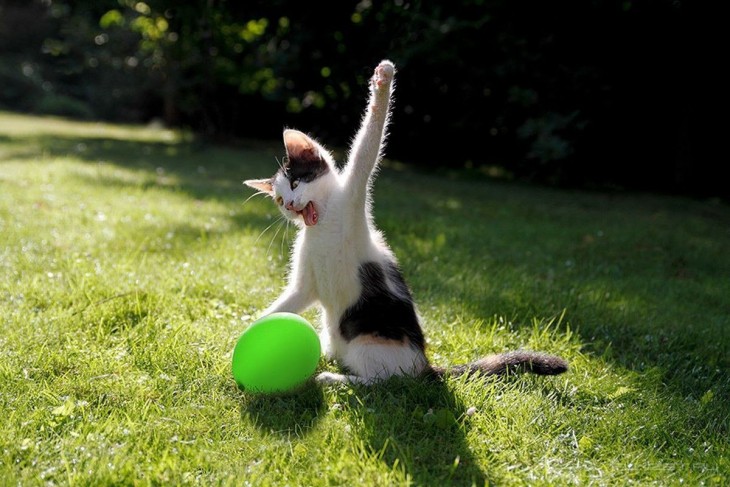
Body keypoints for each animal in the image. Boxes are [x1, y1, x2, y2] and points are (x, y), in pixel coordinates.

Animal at [242, 60, 564, 386]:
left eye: (295, 183)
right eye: (279, 199)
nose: (290, 206)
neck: (321, 224)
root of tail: (424, 364)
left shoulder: (354, 195)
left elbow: (367, 146)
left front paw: (383, 81)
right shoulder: (305, 285)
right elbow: (285, 303)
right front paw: (244, 337)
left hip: (369, 343)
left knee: (381, 381)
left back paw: (334, 378)